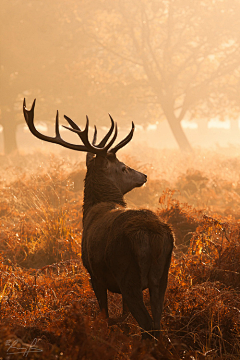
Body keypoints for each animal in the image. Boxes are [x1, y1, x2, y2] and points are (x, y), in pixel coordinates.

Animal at [23, 99, 173, 340]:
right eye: (124, 167)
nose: (143, 175)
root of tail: (152, 235)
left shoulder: (94, 274)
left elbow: (104, 314)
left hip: (127, 274)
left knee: (148, 324)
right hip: (162, 275)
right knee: (157, 322)